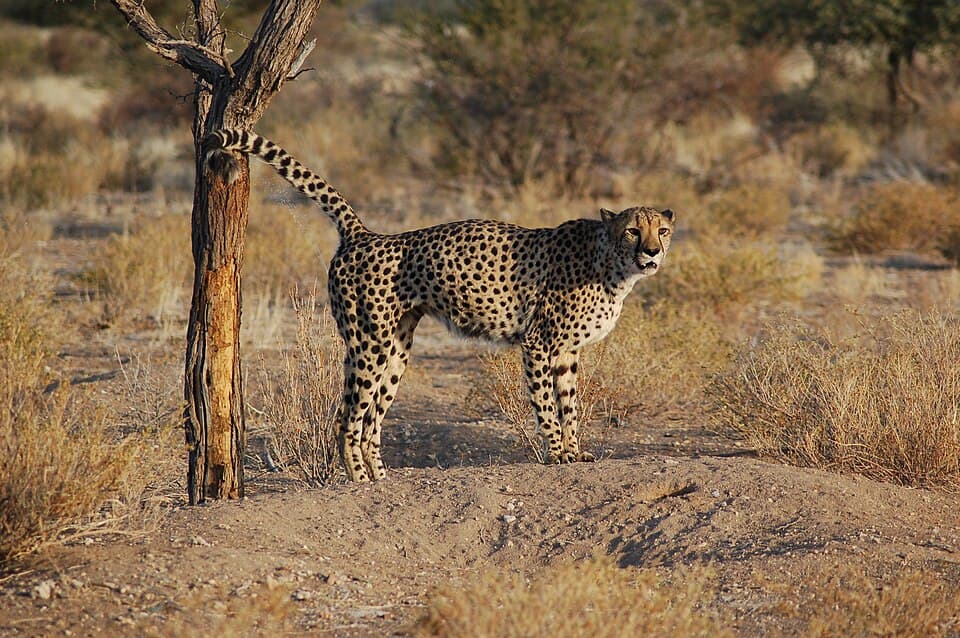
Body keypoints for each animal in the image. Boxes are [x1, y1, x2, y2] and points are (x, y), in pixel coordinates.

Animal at [204, 128, 675, 482]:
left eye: (663, 230)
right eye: (632, 230)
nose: (652, 252)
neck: (610, 263)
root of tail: (364, 234)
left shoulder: (566, 351)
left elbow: (569, 403)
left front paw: (576, 452)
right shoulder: (539, 343)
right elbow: (546, 404)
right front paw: (557, 453)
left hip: (397, 348)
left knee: (370, 419)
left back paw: (381, 477)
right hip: (369, 344)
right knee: (348, 418)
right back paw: (358, 479)